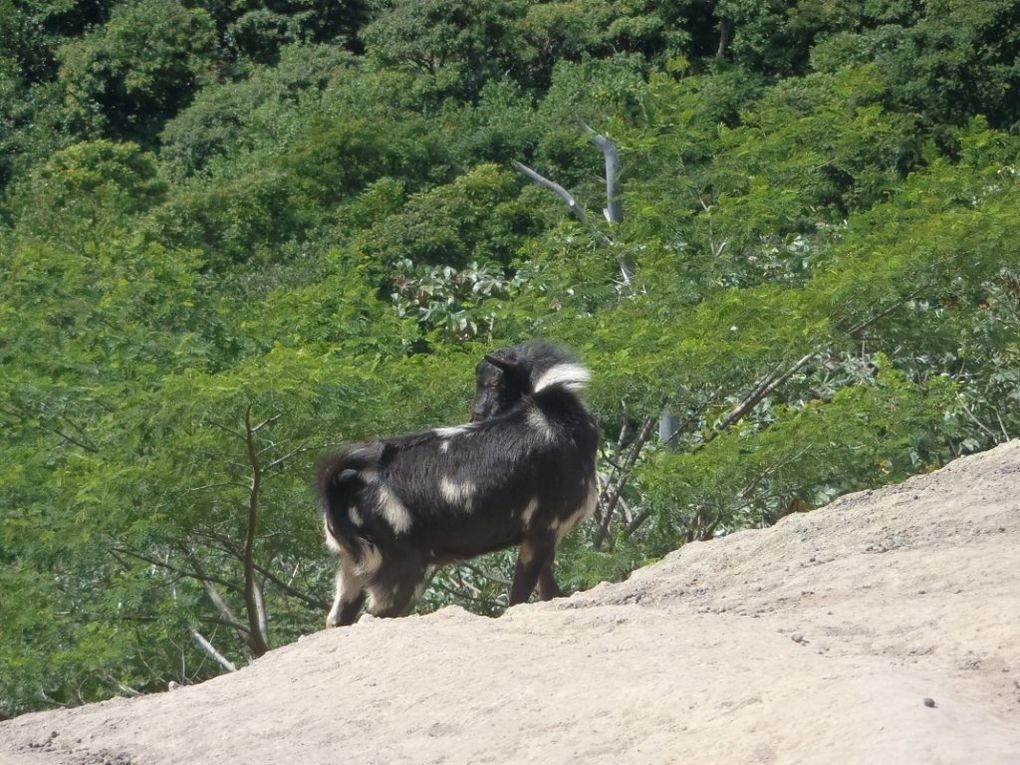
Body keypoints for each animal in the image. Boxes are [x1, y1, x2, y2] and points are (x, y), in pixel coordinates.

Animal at [318, 342, 595, 628]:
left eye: (495, 383)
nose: (476, 415)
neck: (556, 417)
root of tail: (340, 486)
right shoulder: (543, 531)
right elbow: (520, 597)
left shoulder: (544, 537)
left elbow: (549, 593)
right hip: (399, 573)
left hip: (351, 571)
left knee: (338, 620)